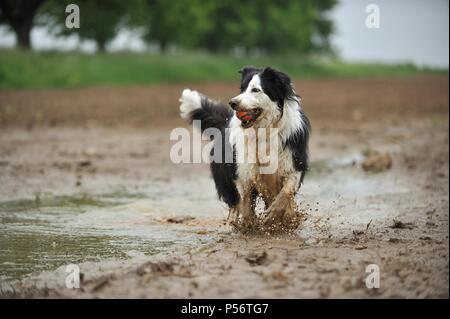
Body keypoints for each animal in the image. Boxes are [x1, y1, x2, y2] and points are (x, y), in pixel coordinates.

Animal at [179, 67, 310, 232]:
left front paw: (278, 216)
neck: (264, 130)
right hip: (225, 176)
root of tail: (223, 124)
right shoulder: (244, 170)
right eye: (242, 89)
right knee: (235, 201)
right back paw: (234, 222)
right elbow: (246, 200)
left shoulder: (293, 163)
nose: (233, 103)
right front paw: (250, 224)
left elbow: (287, 191)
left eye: (255, 90)